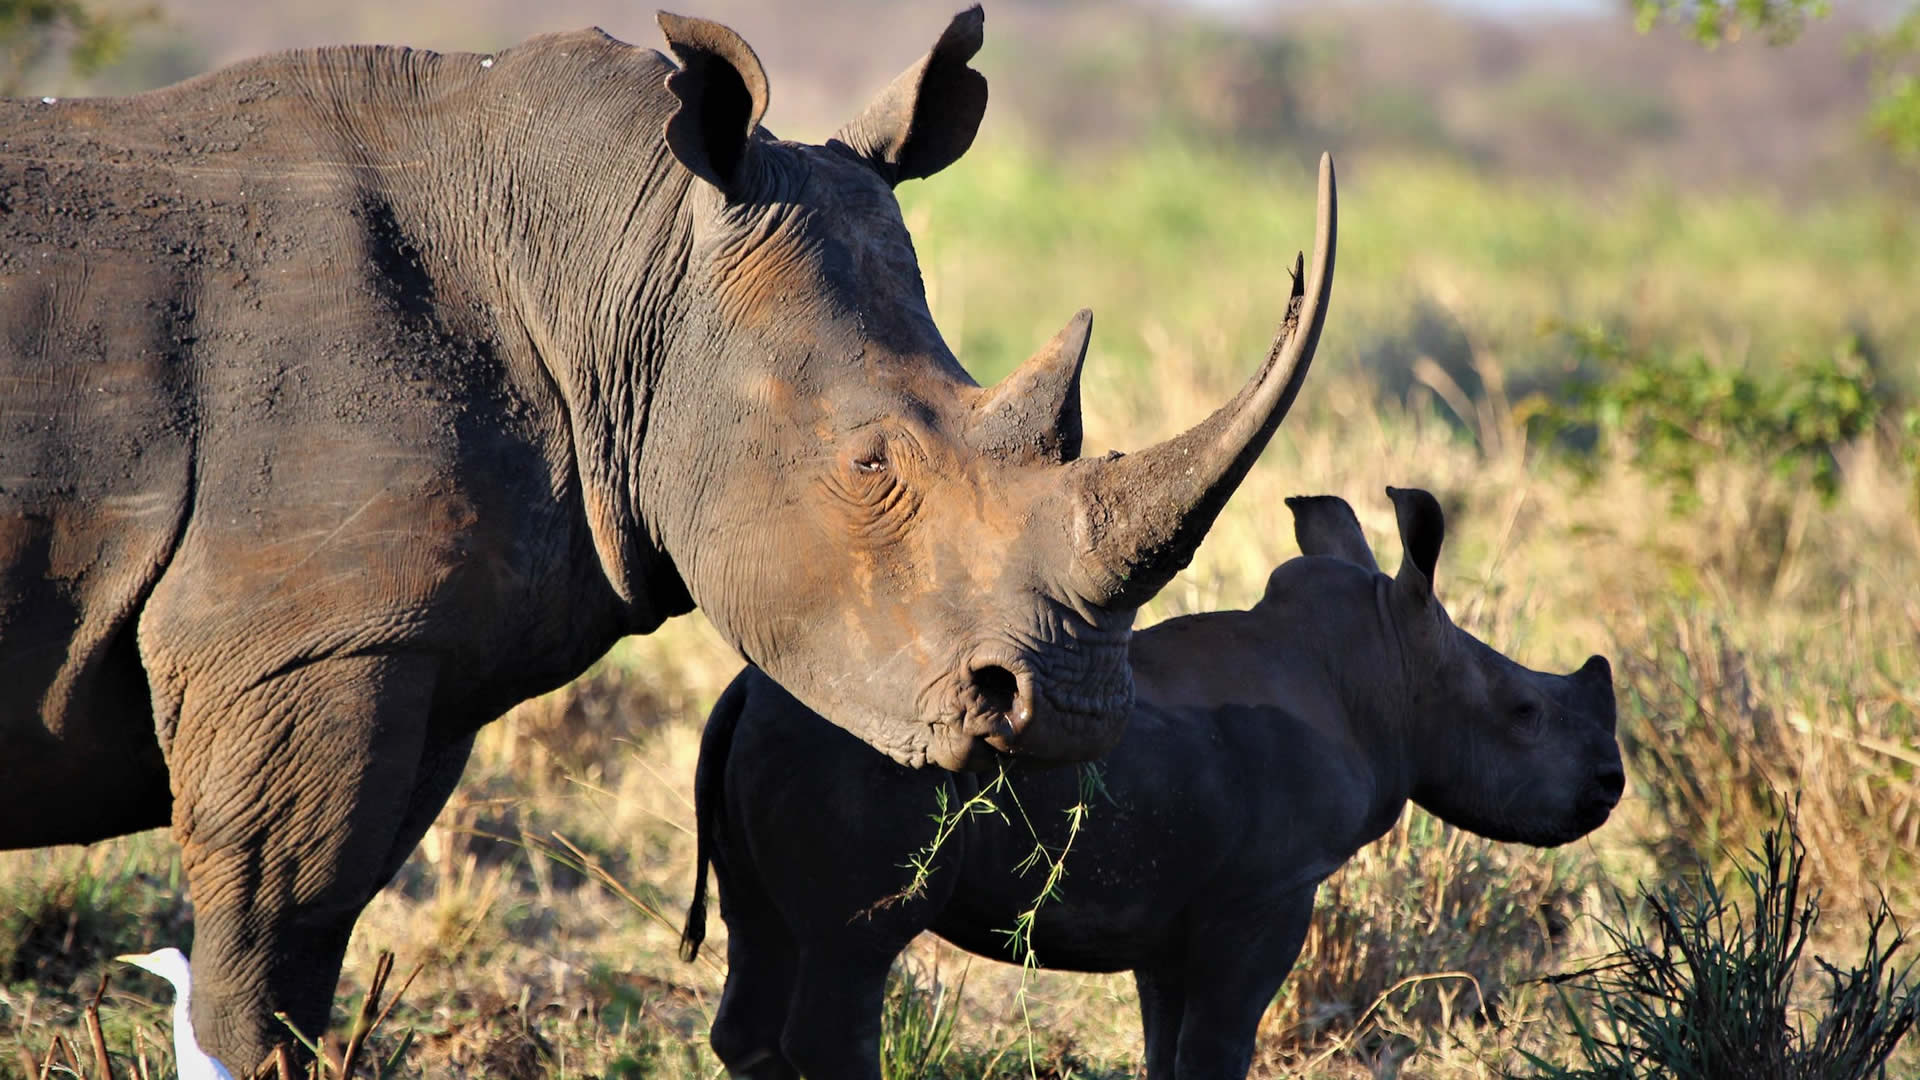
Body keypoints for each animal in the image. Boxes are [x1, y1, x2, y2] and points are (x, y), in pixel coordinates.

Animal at [683, 488, 1628, 1076]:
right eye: (1524, 713)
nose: (1612, 787)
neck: (1388, 665)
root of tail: (743, 694)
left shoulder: (1172, 913)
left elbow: (1170, 1050)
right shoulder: (1266, 894)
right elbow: (1219, 1048)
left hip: (767, 750)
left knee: (758, 941)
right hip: (855, 766)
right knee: (855, 952)